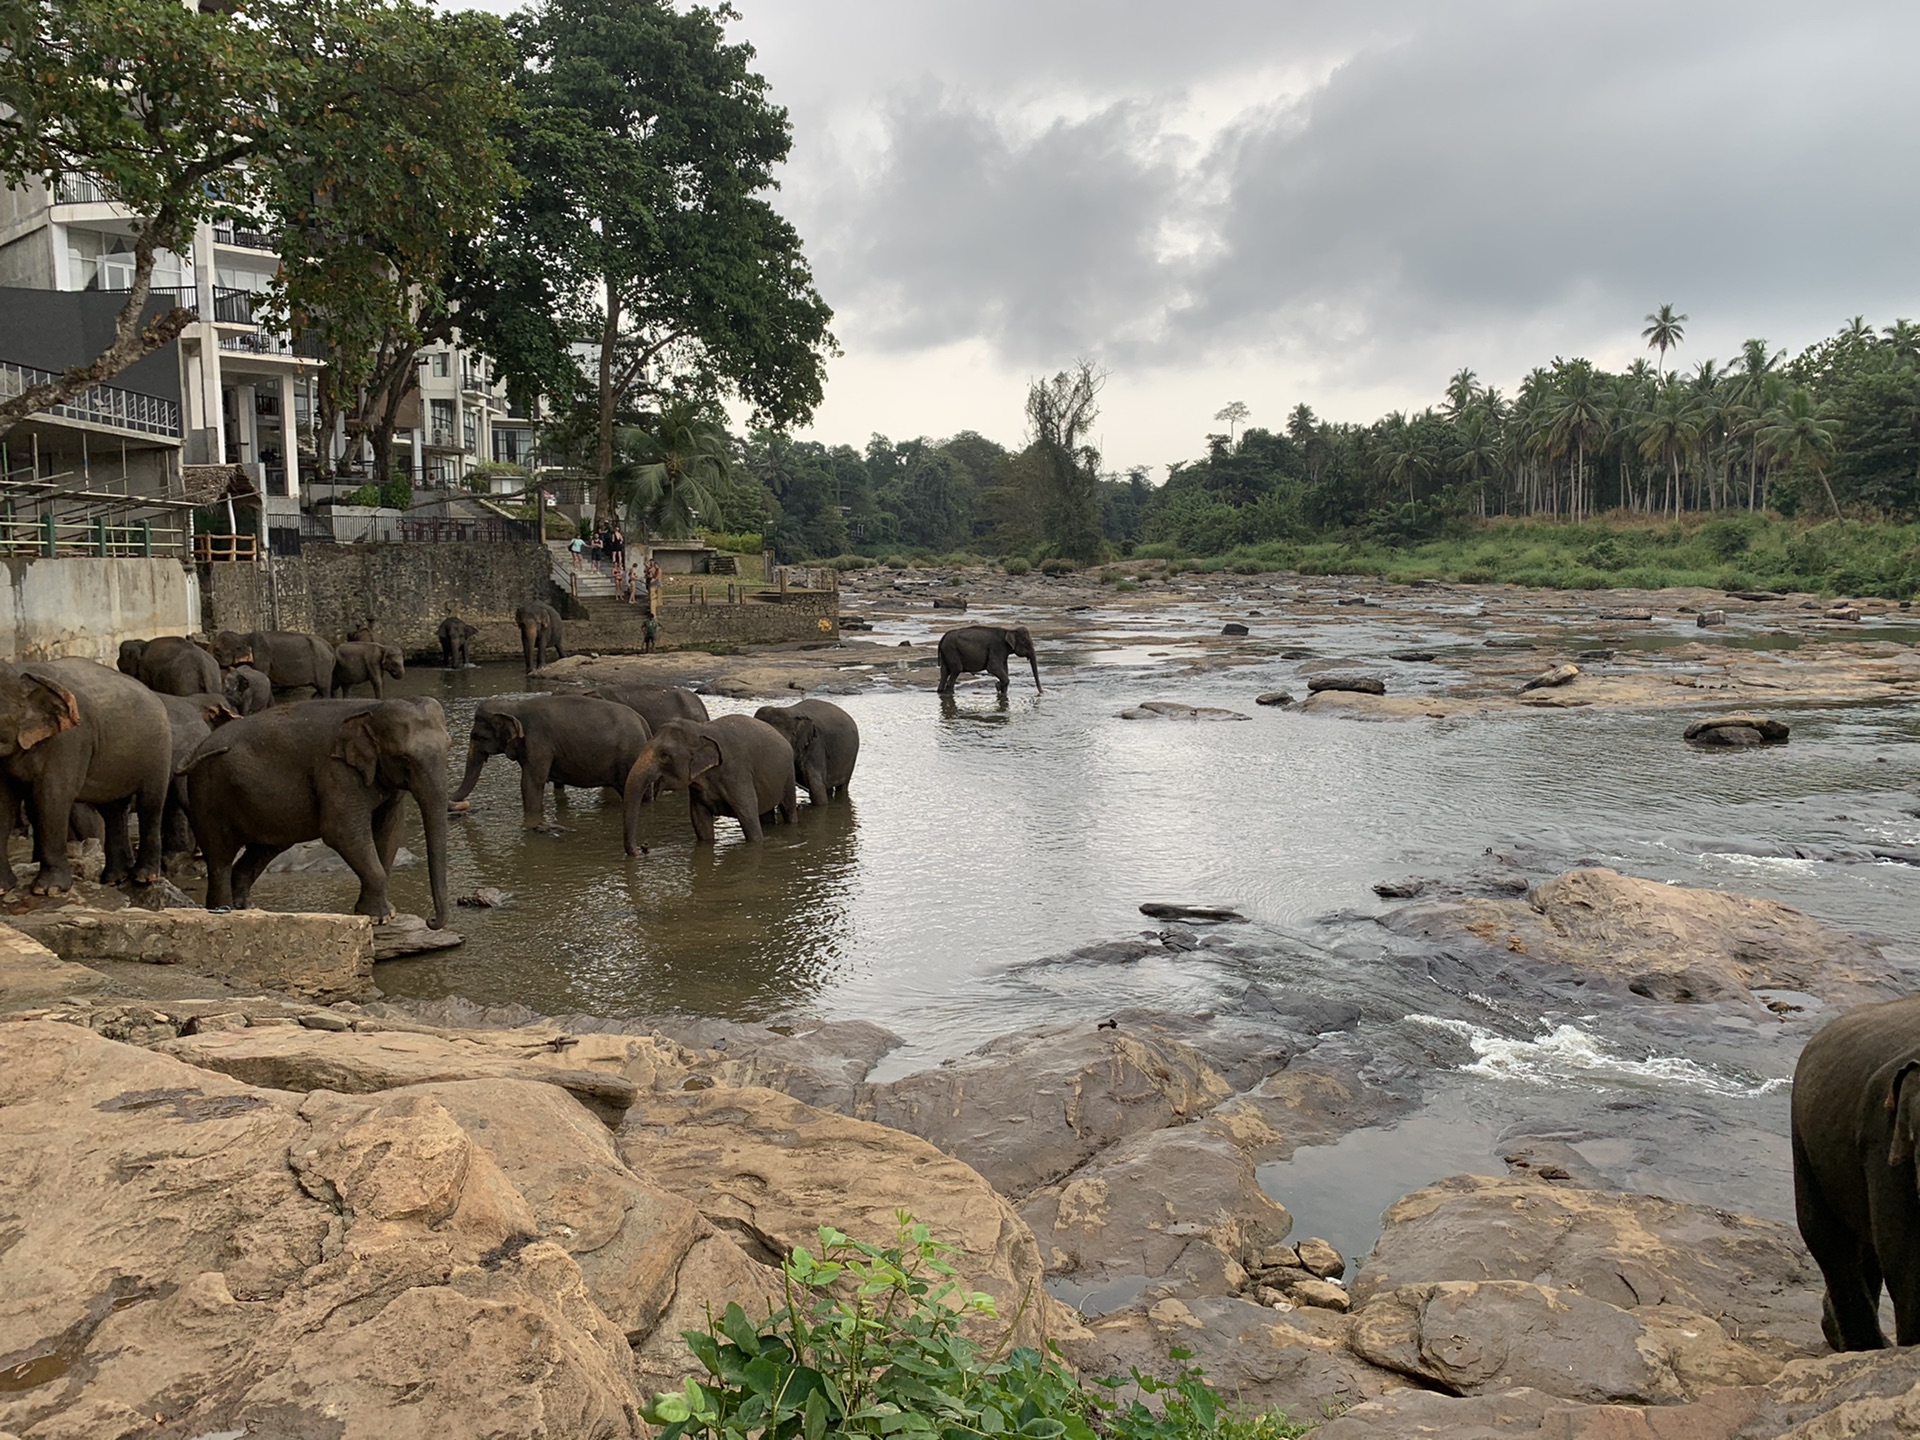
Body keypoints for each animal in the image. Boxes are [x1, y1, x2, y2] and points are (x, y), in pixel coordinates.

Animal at [0, 664, 170, 890]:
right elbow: (4, 803)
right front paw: (3, 887)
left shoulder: (69, 741)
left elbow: (52, 798)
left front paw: (49, 890)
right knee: (113, 810)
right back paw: (115, 879)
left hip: (158, 753)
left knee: (150, 803)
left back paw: (144, 878)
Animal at [184, 695, 453, 925]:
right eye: (404, 758)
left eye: (449, 747)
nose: (430, 920)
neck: (372, 708)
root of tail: (197, 749)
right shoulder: (335, 770)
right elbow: (342, 832)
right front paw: (380, 917)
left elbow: (390, 831)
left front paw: (380, 914)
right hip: (208, 791)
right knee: (220, 856)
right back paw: (224, 911)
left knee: (264, 849)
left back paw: (247, 908)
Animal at [447, 695, 652, 829]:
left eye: (477, 736)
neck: (514, 706)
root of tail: (644, 724)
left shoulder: (539, 742)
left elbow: (531, 783)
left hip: (629, 758)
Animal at [625, 714, 798, 852]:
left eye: (664, 755)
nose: (643, 847)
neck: (702, 728)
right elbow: (700, 821)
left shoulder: (737, 773)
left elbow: (749, 819)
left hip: (789, 775)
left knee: (788, 809)